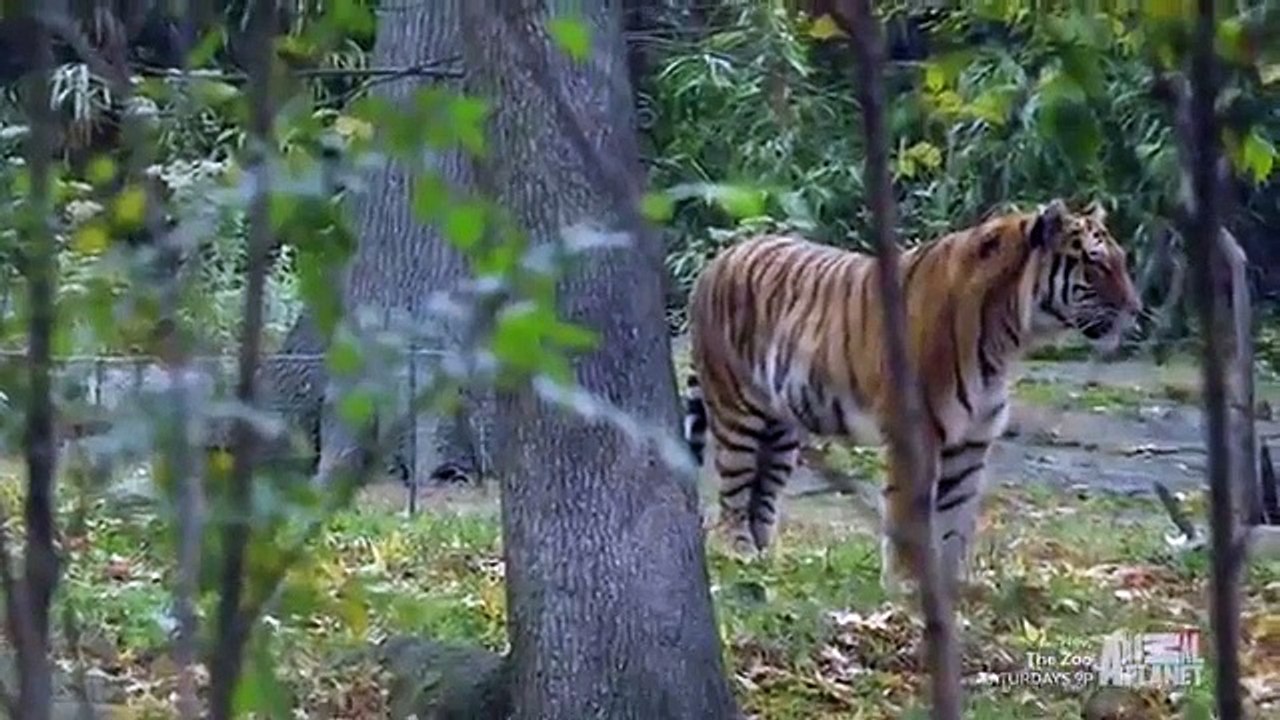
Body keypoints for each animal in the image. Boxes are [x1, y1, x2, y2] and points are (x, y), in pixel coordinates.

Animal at [681, 199, 1142, 593]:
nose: (1136, 309)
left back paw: (767, 559)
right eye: (1096, 263)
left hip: (781, 430)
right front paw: (907, 583)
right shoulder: (916, 430)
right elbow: (909, 512)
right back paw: (739, 553)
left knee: (763, 496)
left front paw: (954, 584)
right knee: (733, 493)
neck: (1009, 336)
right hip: (737, 411)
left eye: (1120, 261)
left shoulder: (971, 440)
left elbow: (955, 519)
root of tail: (716, 260)